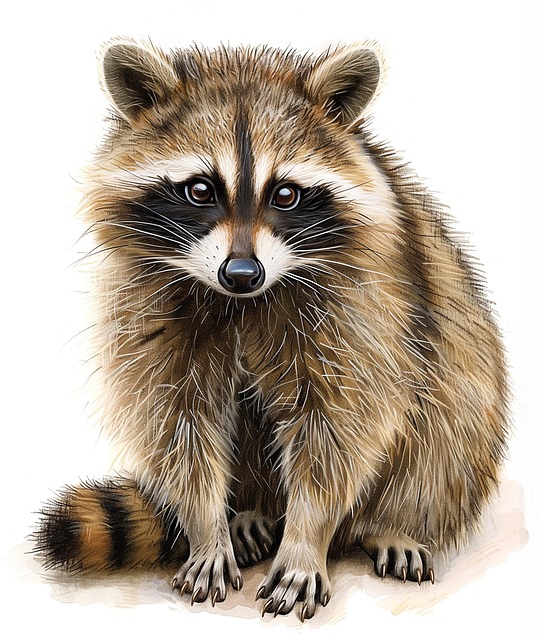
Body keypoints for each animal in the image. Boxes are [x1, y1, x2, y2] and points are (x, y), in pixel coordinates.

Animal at [34, 39, 508, 621]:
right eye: (199, 190)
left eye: (285, 194)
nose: (241, 273)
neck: (243, 302)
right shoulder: (148, 300)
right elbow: (178, 420)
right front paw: (206, 528)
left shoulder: (362, 306)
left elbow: (340, 427)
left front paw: (306, 540)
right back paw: (247, 513)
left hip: (459, 375)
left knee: (449, 422)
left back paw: (387, 524)